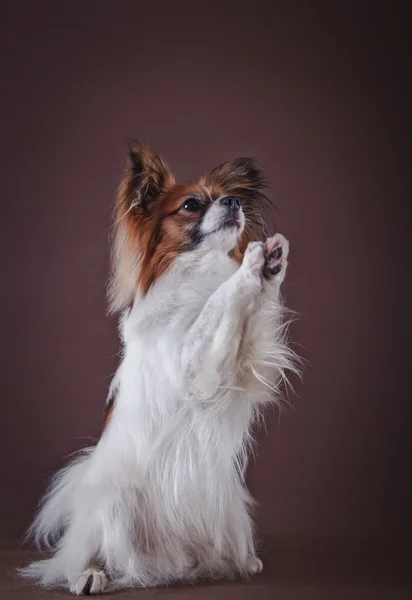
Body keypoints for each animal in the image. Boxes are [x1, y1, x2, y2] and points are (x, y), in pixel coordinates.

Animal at [20, 142, 300, 596]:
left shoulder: (246, 367)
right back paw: (90, 574)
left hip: (229, 505)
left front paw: (272, 264)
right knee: (73, 561)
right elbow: (221, 298)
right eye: (191, 205)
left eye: (228, 196)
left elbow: (254, 310)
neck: (199, 272)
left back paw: (238, 560)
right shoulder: (192, 364)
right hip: (113, 504)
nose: (234, 202)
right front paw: (250, 264)